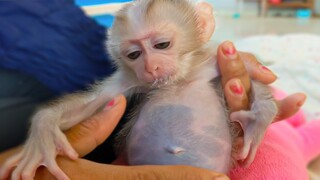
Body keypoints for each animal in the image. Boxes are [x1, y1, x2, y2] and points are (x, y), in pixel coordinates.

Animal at [0, 0, 276, 179]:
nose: (151, 67)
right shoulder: (132, 79)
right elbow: (96, 101)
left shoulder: (212, 61)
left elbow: (253, 75)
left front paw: (257, 121)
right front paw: (43, 131)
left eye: (162, 45)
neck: (178, 79)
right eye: (134, 55)